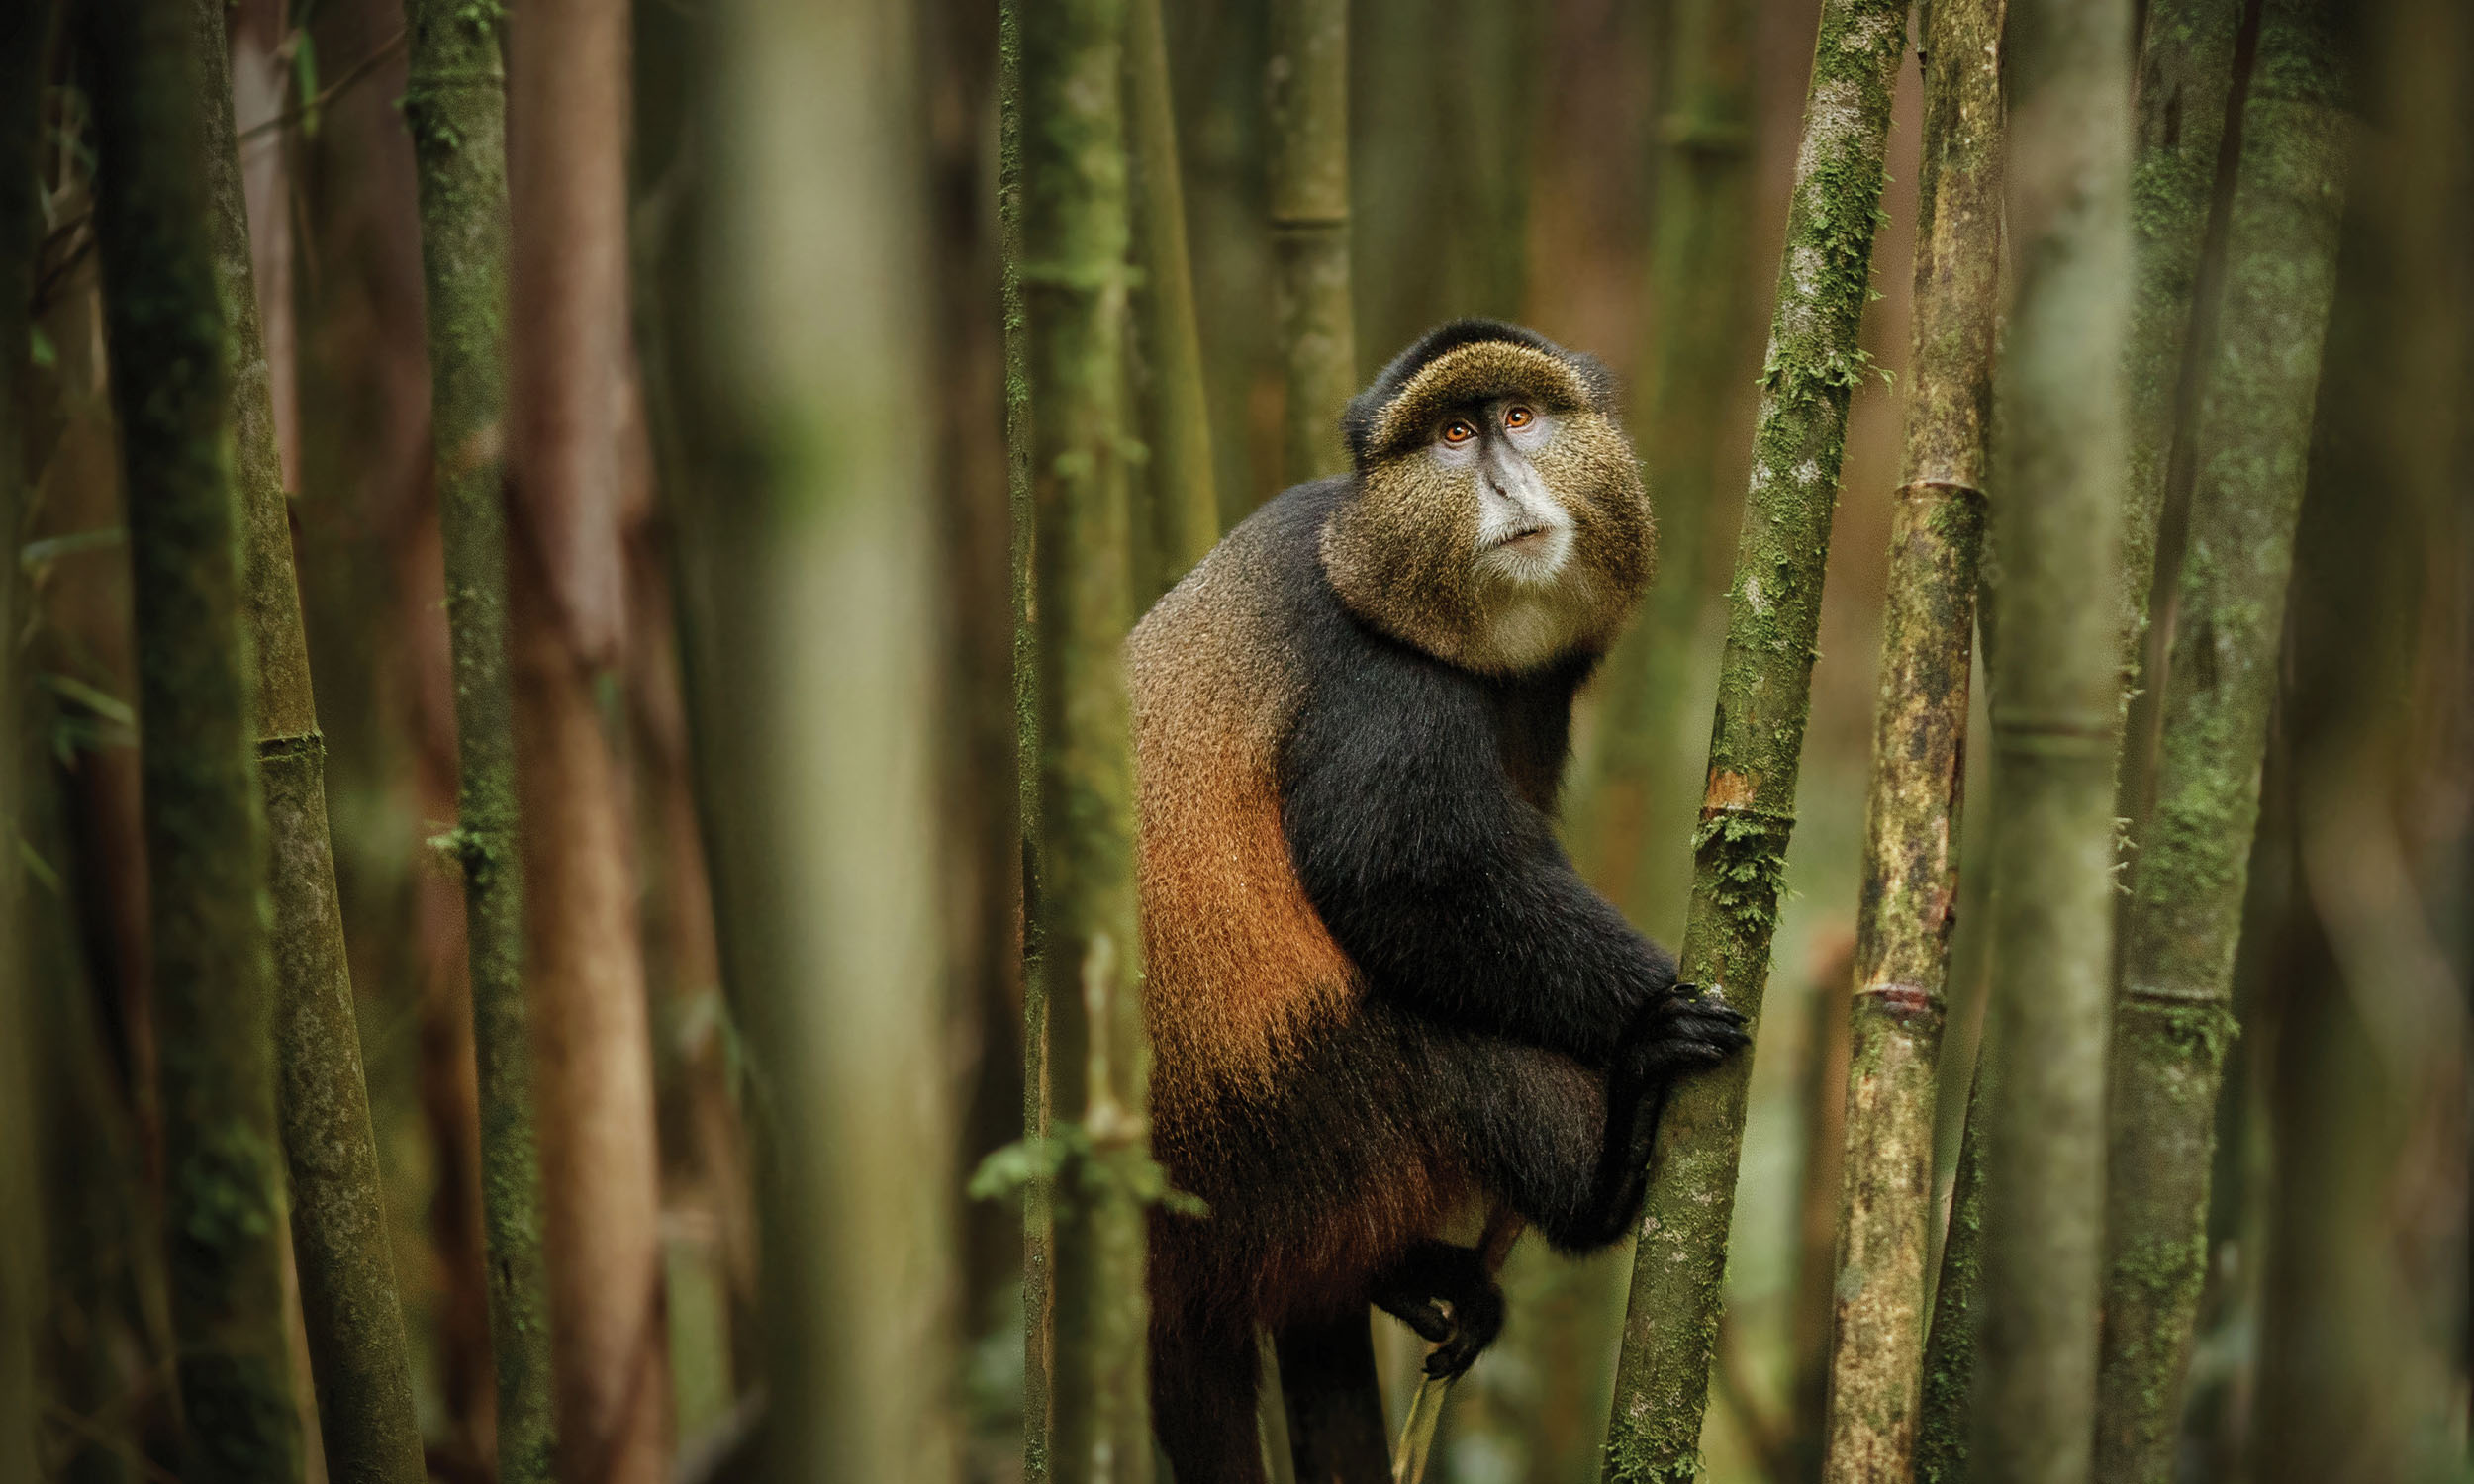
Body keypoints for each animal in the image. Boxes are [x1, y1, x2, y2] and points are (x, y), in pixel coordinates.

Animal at [1127, 318, 1750, 1483]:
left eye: (1518, 417)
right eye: (1453, 437)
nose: (1505, 482)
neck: (1362, 553)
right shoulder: (1377, 686)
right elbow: (1402, 884)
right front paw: (1650, 1009)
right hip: (1287, 1117)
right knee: (1448, 1050)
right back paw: (1608, 1169)